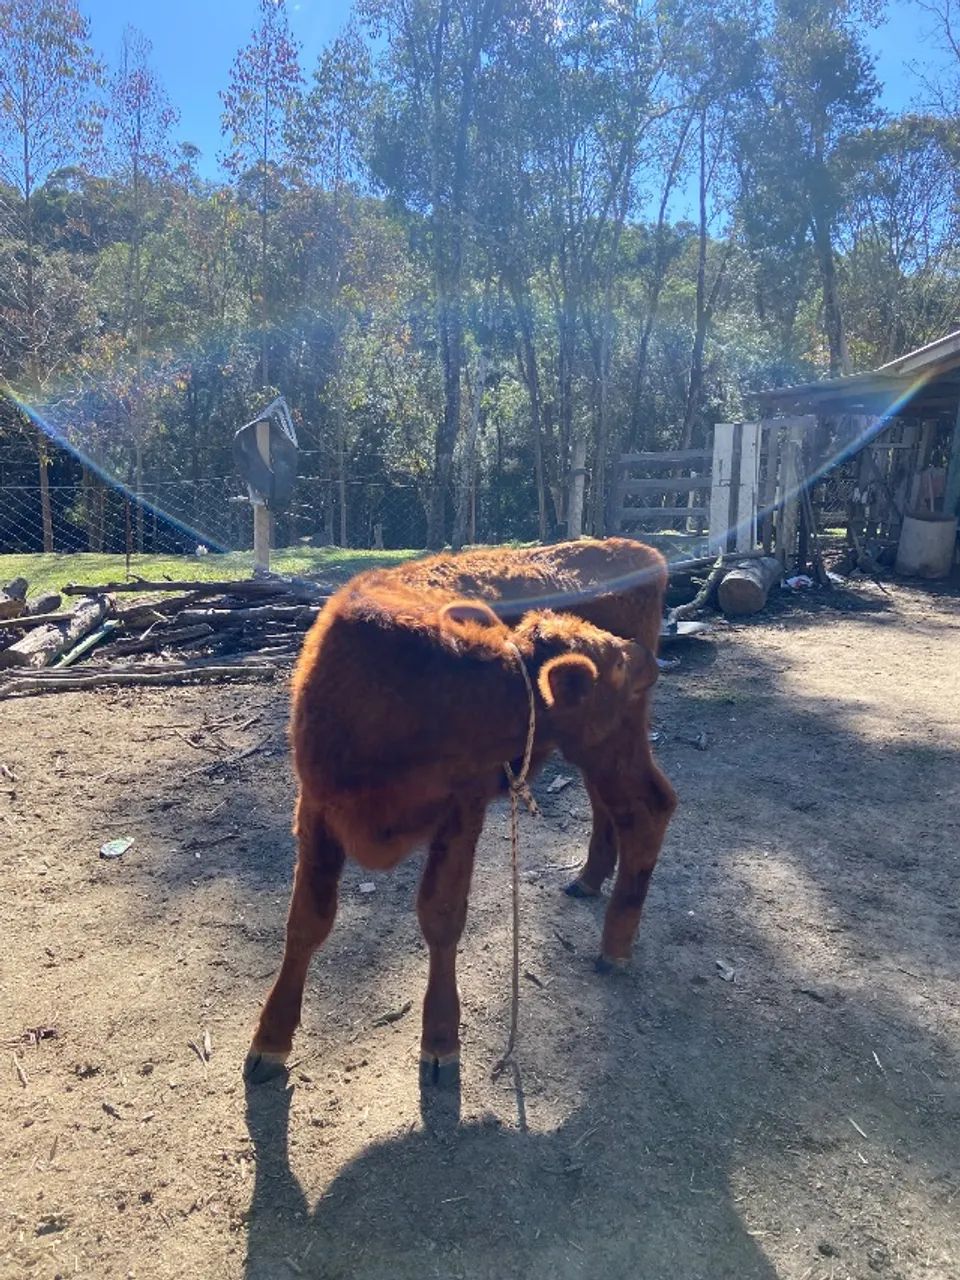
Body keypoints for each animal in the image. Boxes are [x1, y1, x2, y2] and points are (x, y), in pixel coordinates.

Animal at [245, 538, 676, 1086]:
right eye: (613, 662)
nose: (643, 660)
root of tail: (640, 552)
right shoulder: (315, 809)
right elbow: (307, 920)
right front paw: (271, 1039)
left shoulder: (463, 808)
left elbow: (442, 915)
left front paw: (441, 1040)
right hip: (595, 743)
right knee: (617, 807)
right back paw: (589, 881)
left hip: (610, 742)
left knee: (647, 808)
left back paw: (615, 946)